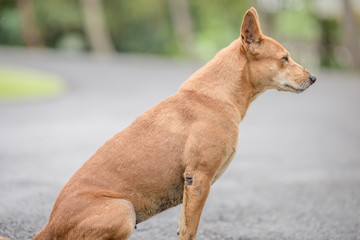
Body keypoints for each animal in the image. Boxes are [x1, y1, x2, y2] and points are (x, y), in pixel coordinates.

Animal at [33, 7, 316, 240]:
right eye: (285, 58)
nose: (313, 77)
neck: (216, 96)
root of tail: (50, 226)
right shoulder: (199, 179)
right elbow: (190, 230)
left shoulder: (191, 188)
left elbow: (183, 227)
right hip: (123, 210)